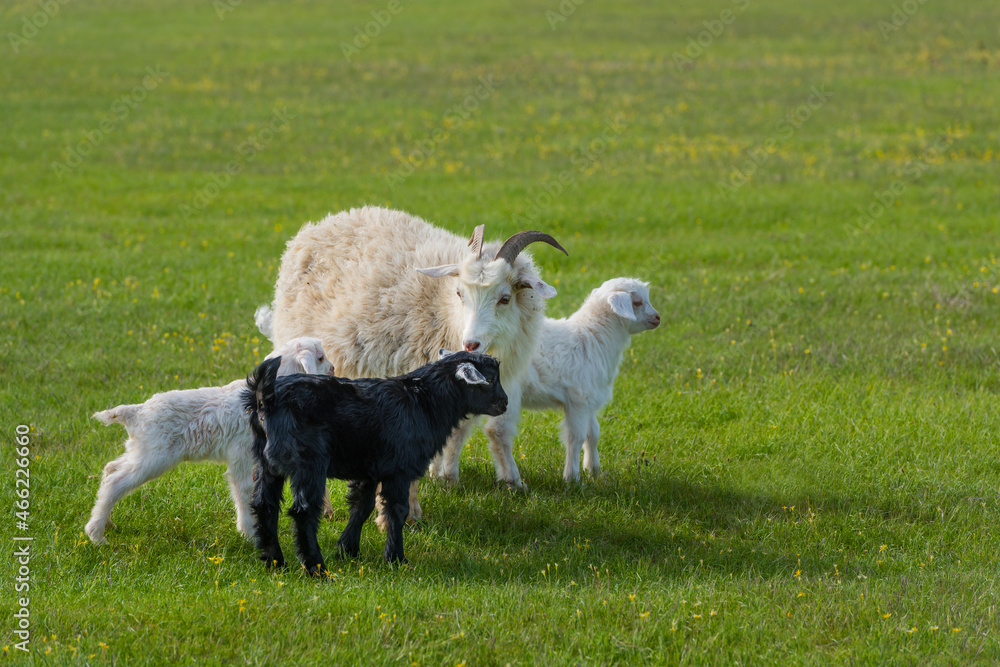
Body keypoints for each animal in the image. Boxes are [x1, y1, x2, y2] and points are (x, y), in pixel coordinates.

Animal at [85, 337, 333, 545]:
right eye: (320, 358)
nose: (332, 370)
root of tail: (135, 412)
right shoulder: (241, 456)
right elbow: (244, 491)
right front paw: (250, 534)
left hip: (140, 450)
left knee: (111, 469)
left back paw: (107, 523)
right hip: (154, 456)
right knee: (115, 482)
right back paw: (97, 535)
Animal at [244, 350, 507, 571]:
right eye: (491, 379)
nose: (504, 403)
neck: (423, 401)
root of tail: (265, 398)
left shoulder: (369, 469)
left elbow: (362, 506)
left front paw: (347, 550)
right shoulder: (399, 469)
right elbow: (397, 511)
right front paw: (396, 559)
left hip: (266, 462)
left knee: (265, 506)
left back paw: (275, 562)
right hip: (308, 462)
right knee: (304, 512)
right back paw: (317, 569)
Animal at [259, 206, 566, 522]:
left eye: (504, 299)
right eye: (460, 293)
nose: (470, 343)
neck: (444, 310)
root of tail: (323, 222)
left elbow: (470, 431)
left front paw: (450, 477)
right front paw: (406, 513)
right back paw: (325, 507)